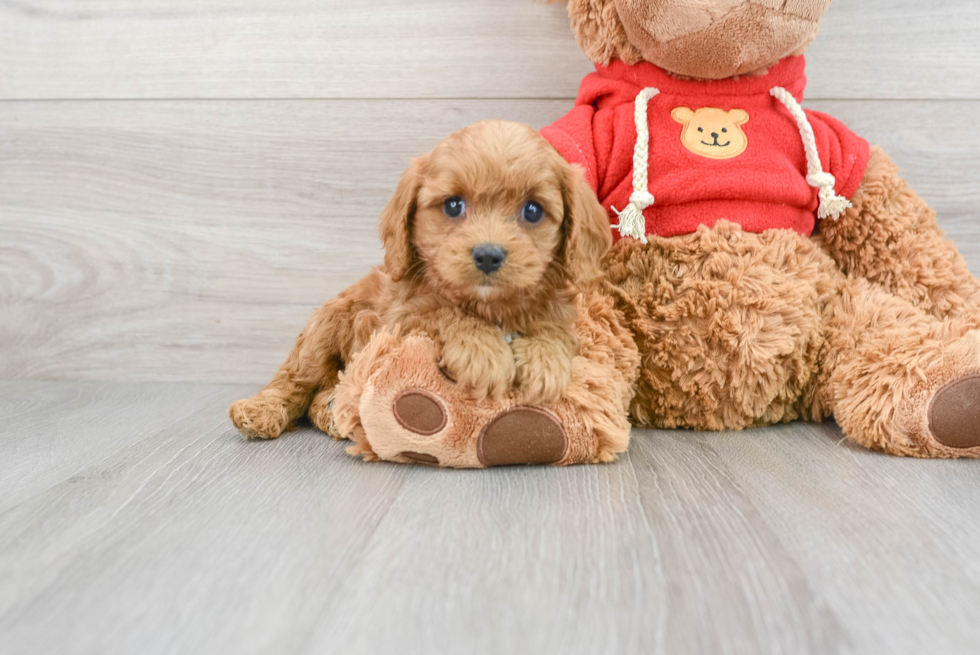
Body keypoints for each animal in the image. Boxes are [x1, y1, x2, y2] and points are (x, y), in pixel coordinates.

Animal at [232, 121, 612, 440]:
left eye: (532, 210)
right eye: (453, 205)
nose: (488, 255)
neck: (490, 307)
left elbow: (553, 328)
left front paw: (544, 361)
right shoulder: (400, 319)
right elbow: (442, 312)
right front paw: (484, 353)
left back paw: (332, 411)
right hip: (323, 330)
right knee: (294, 379)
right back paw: (259, 410)